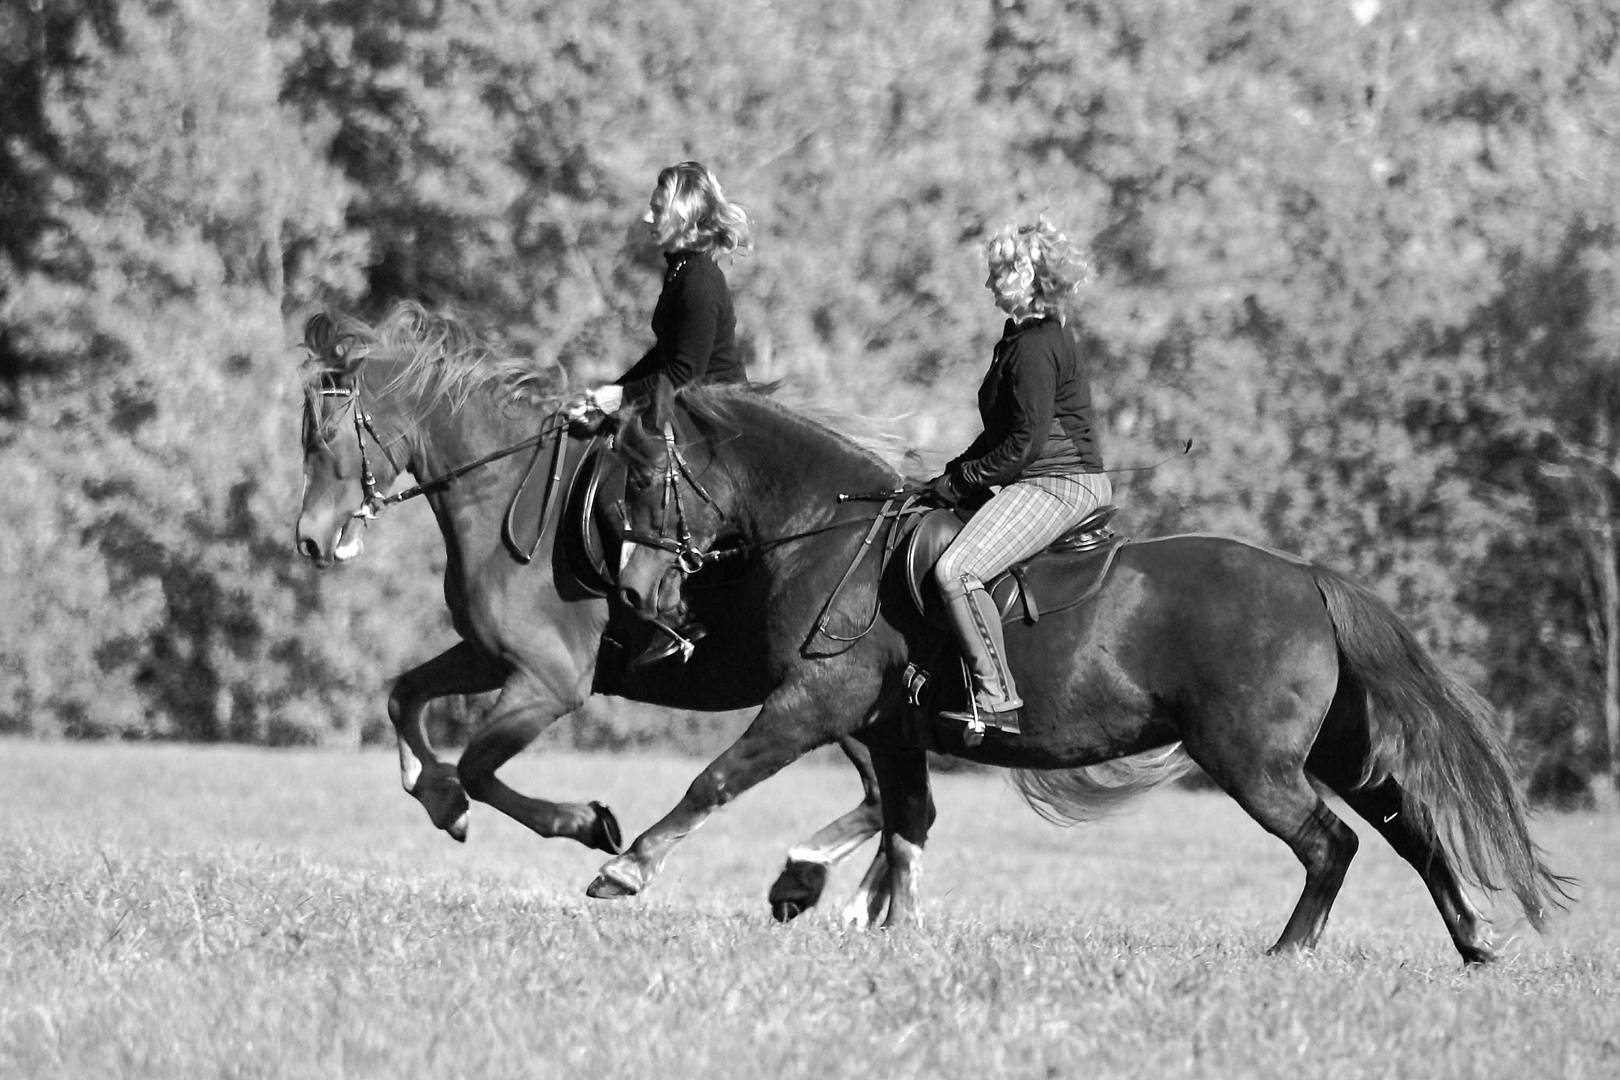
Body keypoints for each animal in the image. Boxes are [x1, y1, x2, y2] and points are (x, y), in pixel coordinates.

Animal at [298, 306, 894, 919]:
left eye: (325, 437)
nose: (309, 541)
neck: (500, 493)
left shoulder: (550, 683)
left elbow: (477, 768)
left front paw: (588, 824)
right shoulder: (491, 657)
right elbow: (405, 695)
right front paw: (440, 798)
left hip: (824, 695)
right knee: (884, 798)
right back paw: (834, 893)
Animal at [592, 386, 1568, 965]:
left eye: (642, 478)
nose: (635, 593)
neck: (831, 540)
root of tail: (1308, 580)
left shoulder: (812, 702)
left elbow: (719, 778)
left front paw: (628, 870)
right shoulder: (887, 728)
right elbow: (906, 821)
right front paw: (890, 927)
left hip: (1251, 761)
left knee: (1331, 844)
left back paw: (1289, 952)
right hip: (1334, 750)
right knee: (1410, 829)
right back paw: (1474, 941)